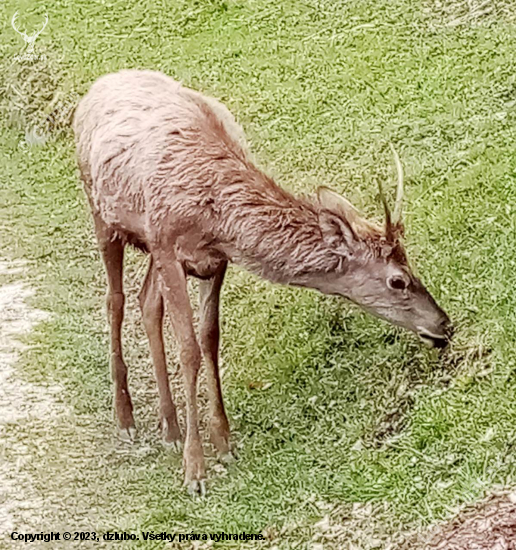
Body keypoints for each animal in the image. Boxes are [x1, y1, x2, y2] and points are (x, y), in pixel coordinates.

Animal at [72, 69, 452, 496]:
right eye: (398, 281)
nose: (443, 325)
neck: (216, 214)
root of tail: (99, 84)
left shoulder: (213, 258)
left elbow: (209, 339)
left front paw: (223, 442)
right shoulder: (168, 243)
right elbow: (188, 349)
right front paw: (195, 470)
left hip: (148, 245)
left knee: (146, 299)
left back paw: (168, 425)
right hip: (101, 212)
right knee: (116, 299)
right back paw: (126, 418)